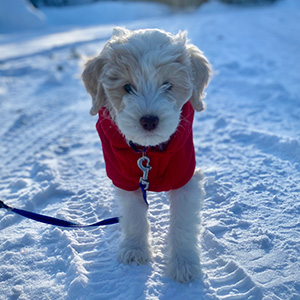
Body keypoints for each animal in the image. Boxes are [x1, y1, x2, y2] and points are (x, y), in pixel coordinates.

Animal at [82, 27, 211, 282]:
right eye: (127, 87)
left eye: (168, 85)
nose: (149, 120)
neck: (148, 152)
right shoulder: (125, 177)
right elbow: (134, 217)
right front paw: (134, 250)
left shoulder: (185, 176)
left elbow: (183, 222)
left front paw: (184, 264)